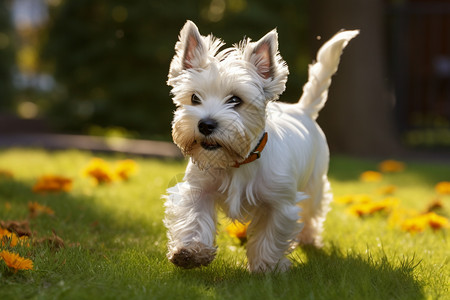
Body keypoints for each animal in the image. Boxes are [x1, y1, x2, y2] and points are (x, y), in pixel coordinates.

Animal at [163, 21, 356, 274]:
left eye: (235, 100)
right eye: (195, 98)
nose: (205, 124)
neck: (236, 161)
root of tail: (302, 109)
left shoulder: (279, 204)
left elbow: (270, 236)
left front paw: (266, 266)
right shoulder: (198, 190)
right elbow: (194, 218)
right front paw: (190, 251)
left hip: (316, 182)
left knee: (312, 212)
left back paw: (309, 239)